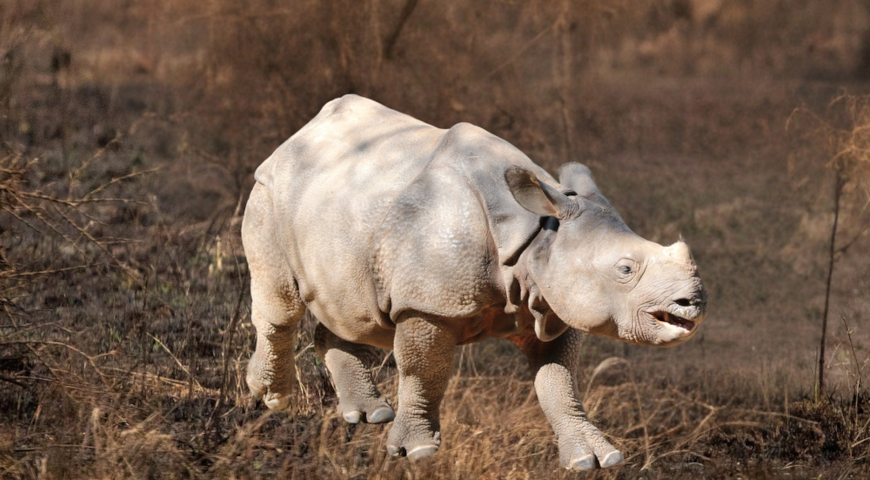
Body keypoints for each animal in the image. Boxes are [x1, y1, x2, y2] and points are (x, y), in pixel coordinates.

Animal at [242, 95, 707, 470]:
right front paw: (417, 452)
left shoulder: (550, 300)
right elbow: (423, 371)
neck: (537, 232)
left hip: (343, 213)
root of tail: (298, 135)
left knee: (356, 312)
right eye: (625, 269)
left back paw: (367, 416)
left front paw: (595, 459)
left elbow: (559, 380)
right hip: (268, 193)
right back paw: (272, 399)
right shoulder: (428, 301)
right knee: (282, 303)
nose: (695, 303)